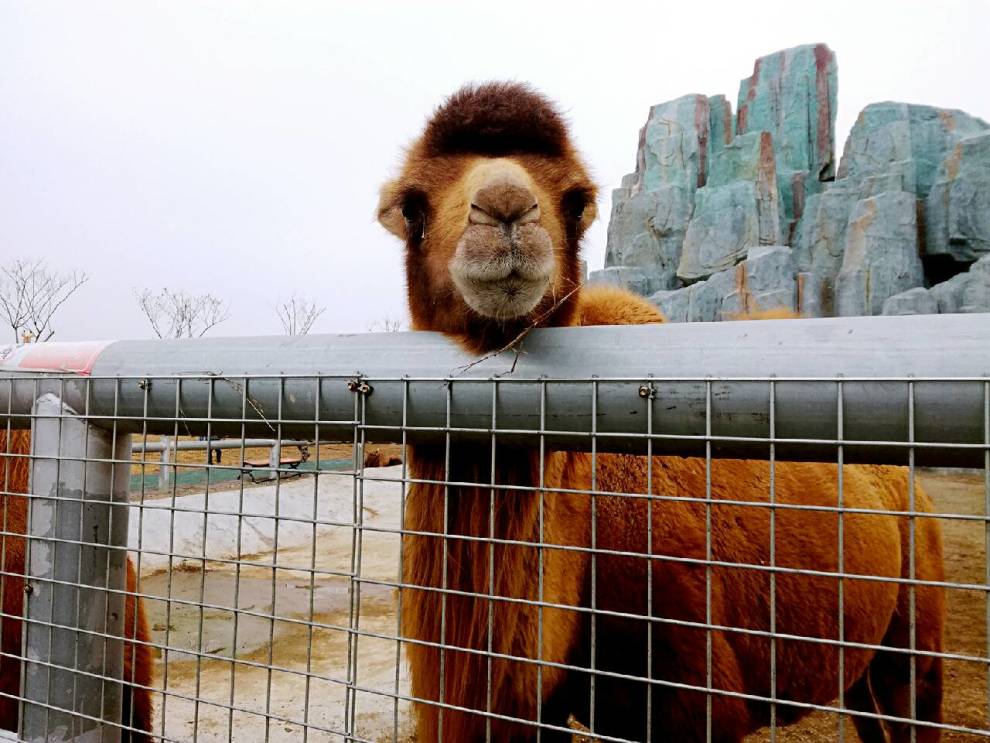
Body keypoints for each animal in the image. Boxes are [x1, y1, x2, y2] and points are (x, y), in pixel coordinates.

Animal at [378, 83, 944, 743]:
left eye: (577, 202)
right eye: (412, 208)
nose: (506, 212)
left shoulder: (696, 698)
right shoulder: (542, 705)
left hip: (916, 633)